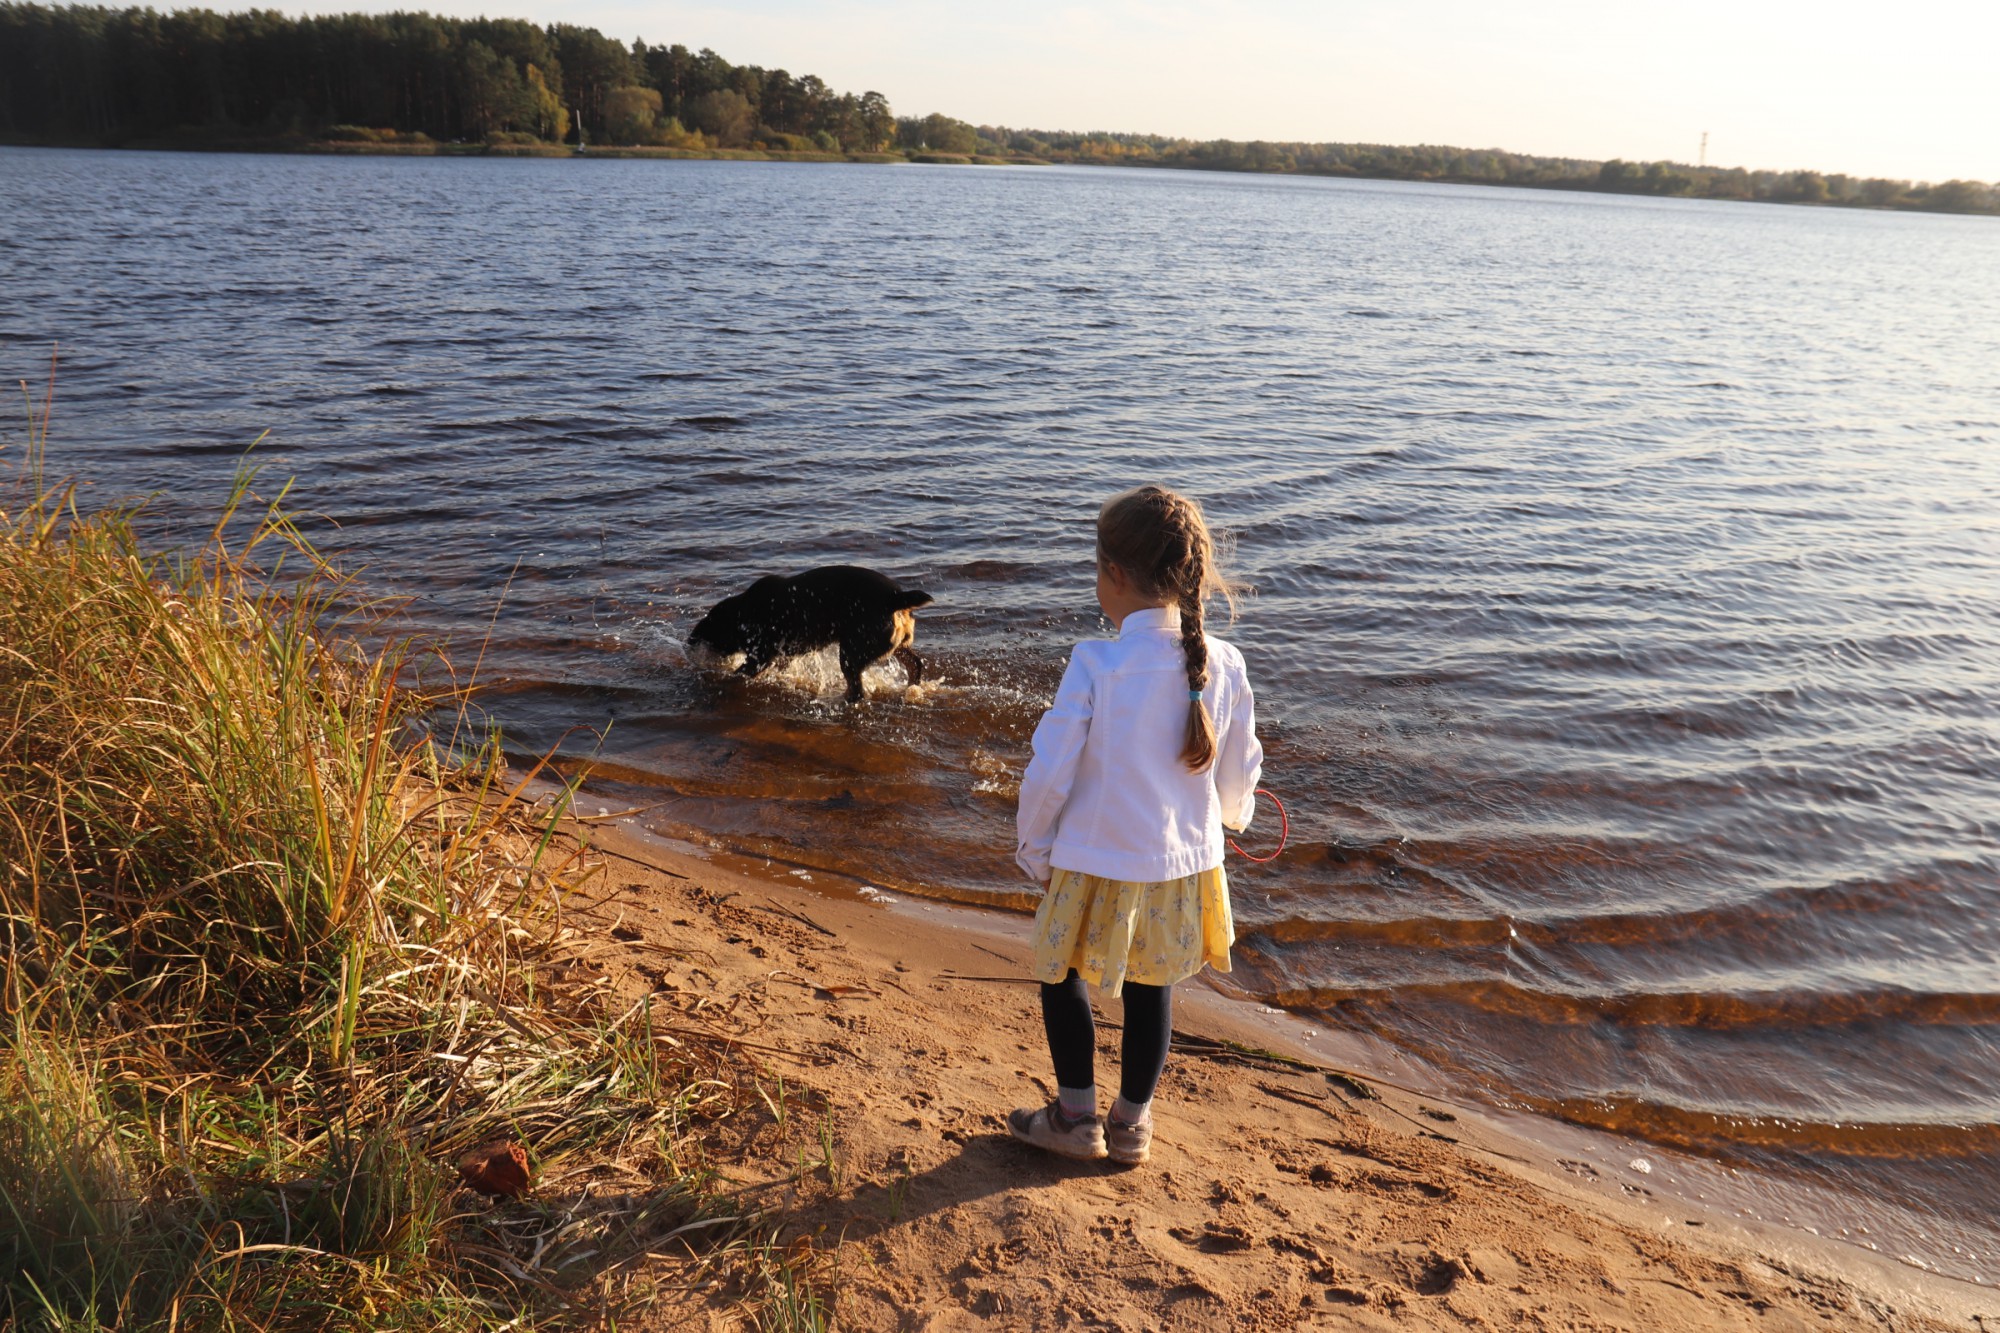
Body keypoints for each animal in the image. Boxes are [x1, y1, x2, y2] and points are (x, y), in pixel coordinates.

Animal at [688, 564, 936, 700]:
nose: (691, 641)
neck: (743, 612)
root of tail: (895, 598)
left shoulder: (761, 657)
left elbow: (737, 673)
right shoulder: (782, 657)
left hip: (852, 653)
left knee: (857, 691)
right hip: (895, 645)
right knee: (915, 664)